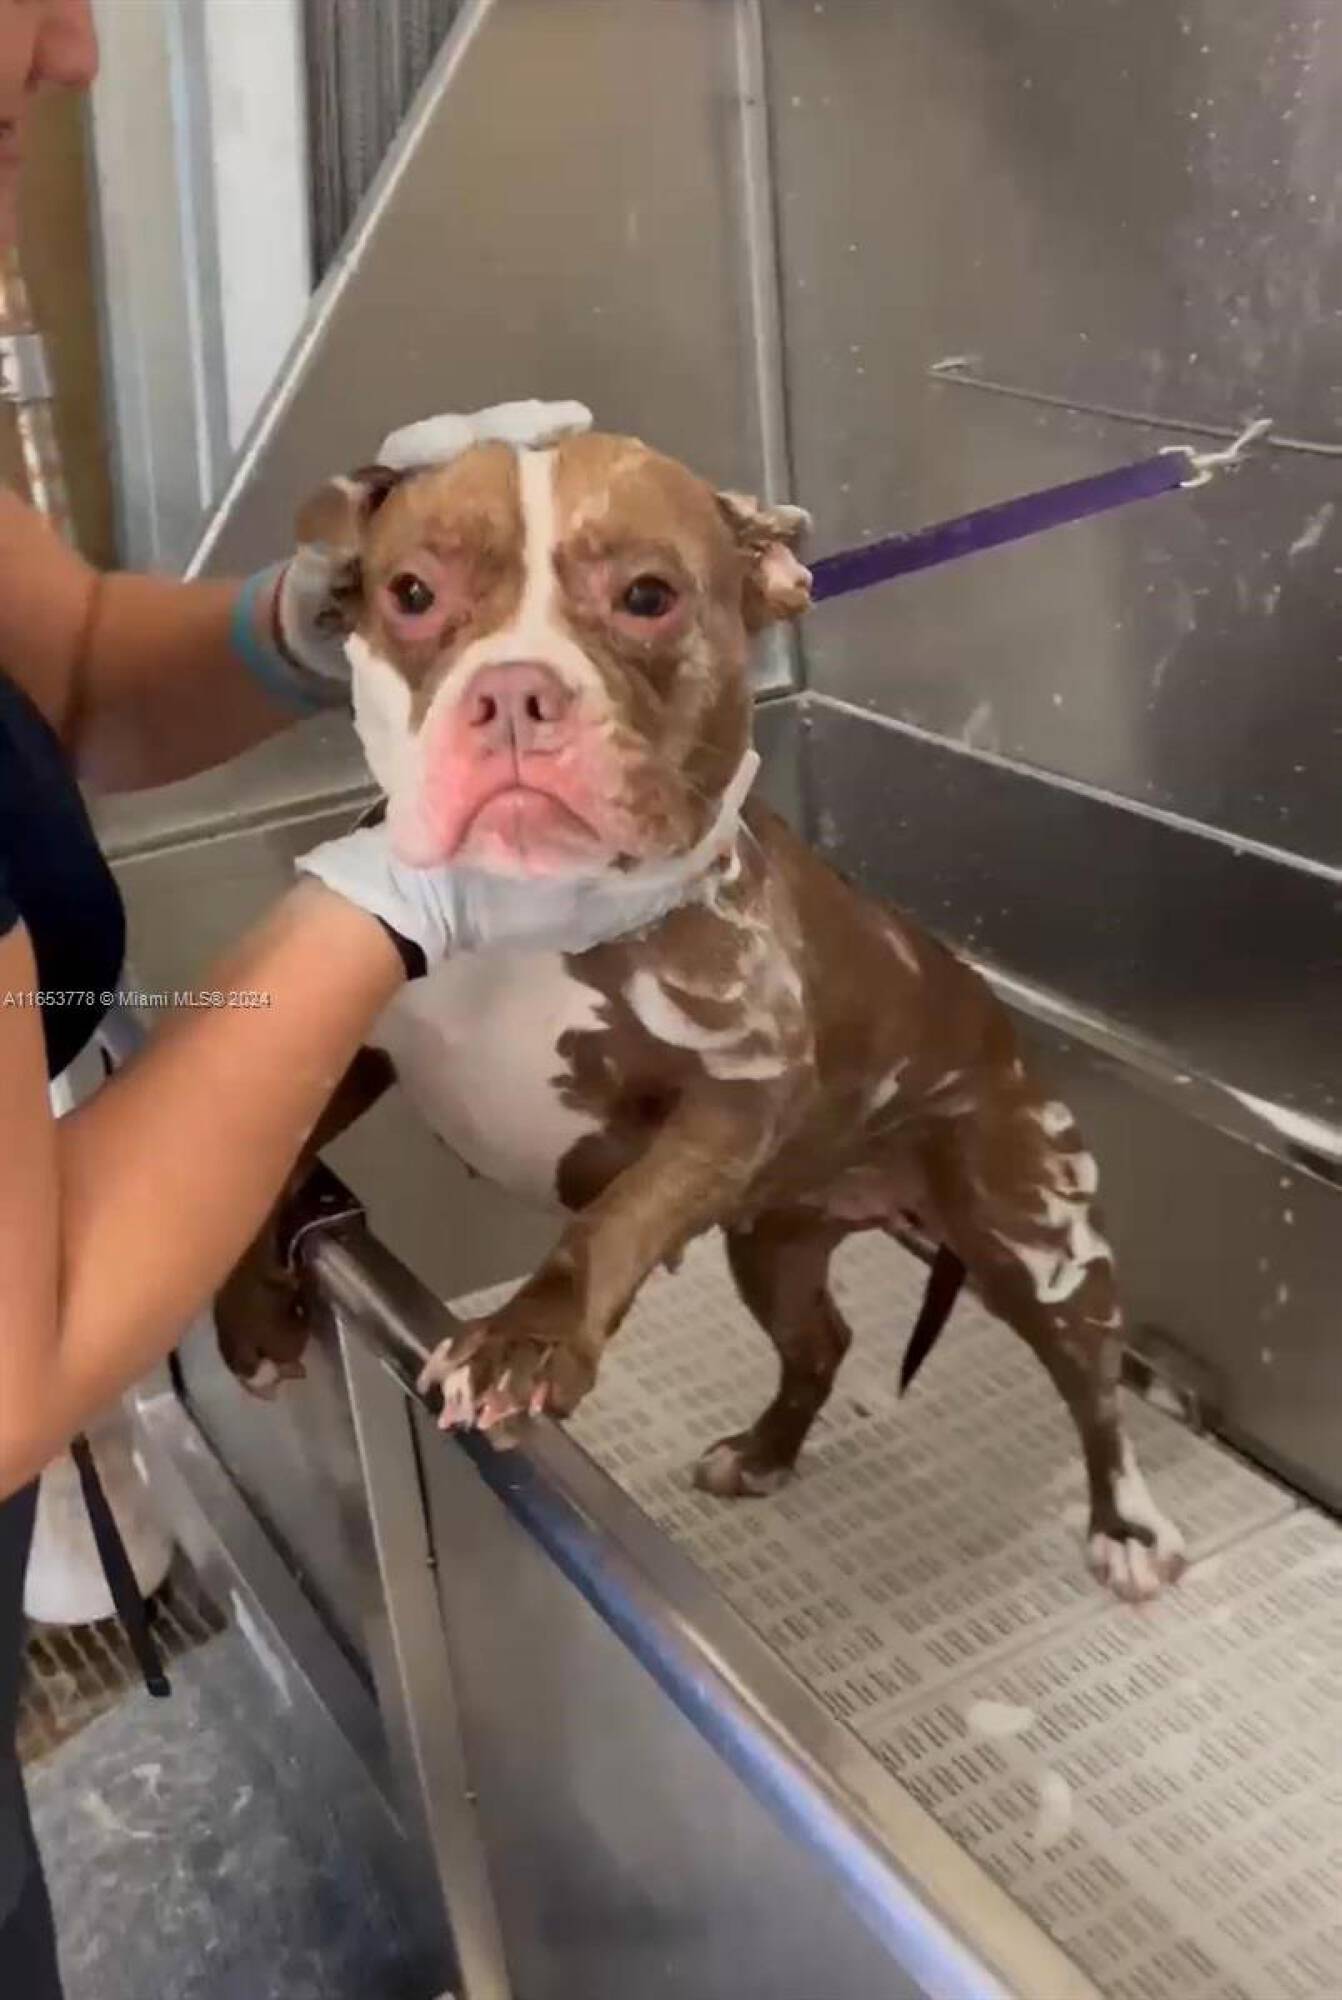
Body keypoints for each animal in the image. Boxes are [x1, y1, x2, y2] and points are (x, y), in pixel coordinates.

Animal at [214, 430, 1185, 1603]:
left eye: (647, 596)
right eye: (411, 592)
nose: (511, 691)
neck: (530, 913)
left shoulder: (730, 1101)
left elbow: (610, 1220)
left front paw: (525, 1338)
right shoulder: (348, 1040)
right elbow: (263, 1157)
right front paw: (248, 1311)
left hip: (1030, 1229)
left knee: (1093, 1377)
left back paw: (1126, 1527)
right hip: (774, 1242)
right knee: (820, 1341)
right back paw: (763, 1452)